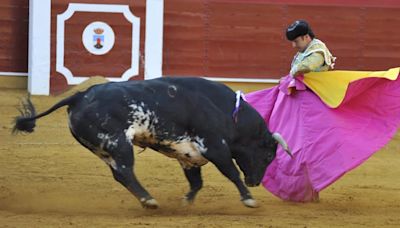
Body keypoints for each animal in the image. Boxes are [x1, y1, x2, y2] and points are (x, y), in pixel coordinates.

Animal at [12, 77, 290, 209]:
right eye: (268, 156)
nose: (256, 181)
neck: (228, 112)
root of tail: (79, 96)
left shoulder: (189, 156)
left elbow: (196, 183)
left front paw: (185, 204)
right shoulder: (215, 147)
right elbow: (232, 173)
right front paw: (249, 199)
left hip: (104, 148)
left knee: (120, 175)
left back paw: (147, 199)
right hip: (119, 143)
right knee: (126, 171)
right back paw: (148, 200)